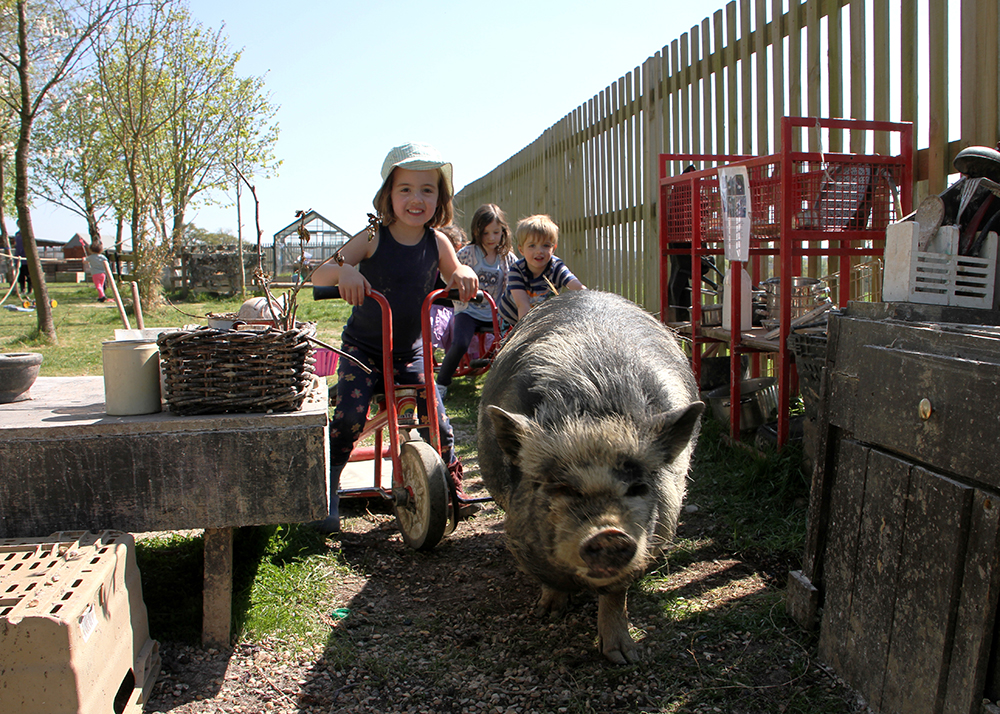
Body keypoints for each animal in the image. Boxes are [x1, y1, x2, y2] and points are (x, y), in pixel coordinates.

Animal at [478, 288, 704, 660]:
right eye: (560, 487)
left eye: (638, 487)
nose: (609, 533)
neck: (593, 418)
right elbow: (549, 579)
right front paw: (547, 613)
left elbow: (615, 595)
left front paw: (625, 657)